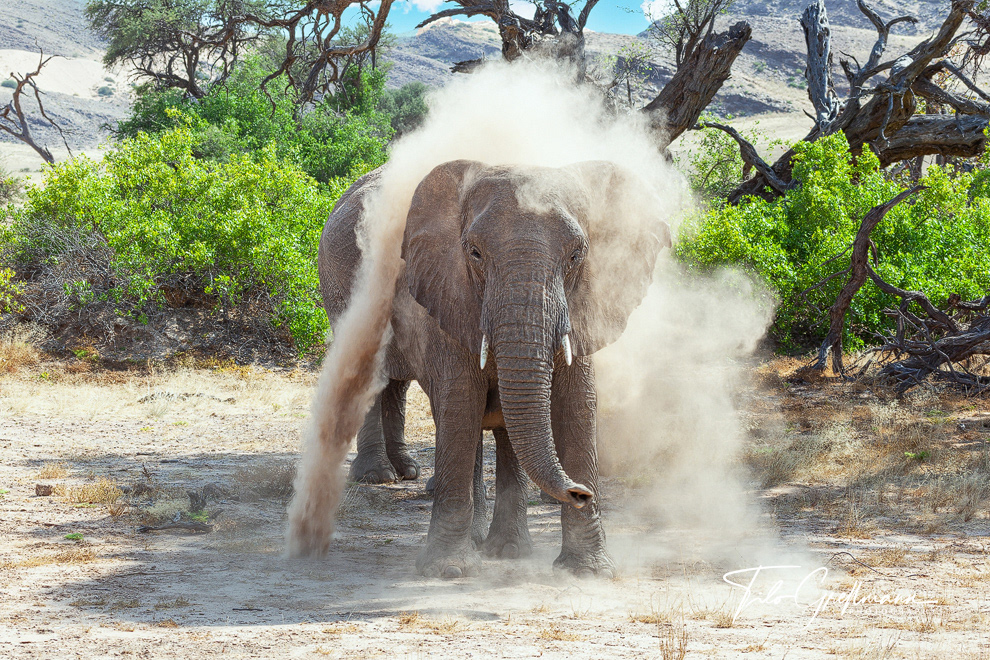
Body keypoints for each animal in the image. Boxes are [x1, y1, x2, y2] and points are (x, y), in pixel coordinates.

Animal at [318, 159, 670, 578]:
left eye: (576, 255)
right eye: (474, 253)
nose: (580, 492)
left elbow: (576, 406)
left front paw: (580, 570)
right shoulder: (449, 289)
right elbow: (461, 404)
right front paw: (449, 570)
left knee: (402, 386)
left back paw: (412, 475)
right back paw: (380, 477)